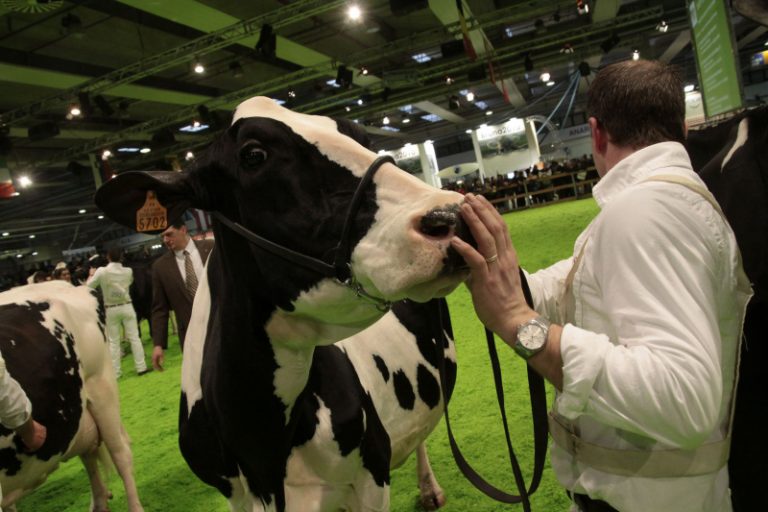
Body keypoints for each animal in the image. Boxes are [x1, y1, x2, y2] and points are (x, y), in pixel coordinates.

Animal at [96, 97, 468, 512]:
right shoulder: (236, 496)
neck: (263, 444)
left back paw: (429, 487)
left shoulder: (372, 469)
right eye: (253, 154)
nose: (450, 214)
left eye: (362, 137)